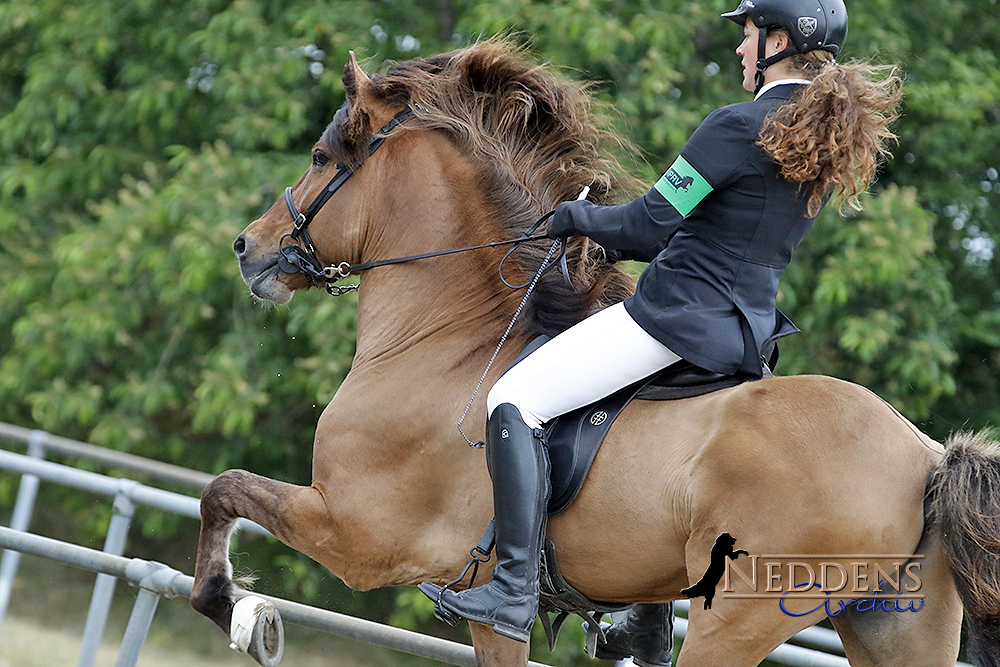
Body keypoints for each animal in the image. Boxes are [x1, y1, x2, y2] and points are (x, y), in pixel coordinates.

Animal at [191, 39, 1000, 664]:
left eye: (322, 155)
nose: (248, 247)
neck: (446, 341)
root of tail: (926, 456)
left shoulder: (357, 533)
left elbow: (224, 487)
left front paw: (228, 603)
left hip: (738, 616)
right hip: (897, 625)